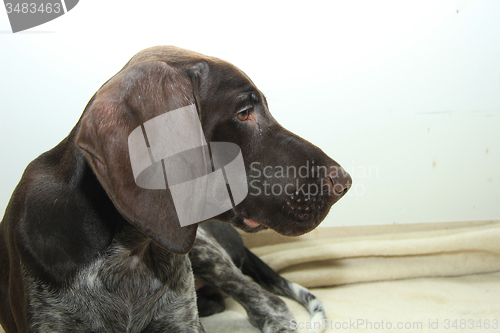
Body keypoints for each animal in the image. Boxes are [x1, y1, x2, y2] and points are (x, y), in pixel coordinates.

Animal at [0, 45, 352, 330]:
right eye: (243, 113)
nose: (345, 182)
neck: (125, 253)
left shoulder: (182, 320)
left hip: (206, 250)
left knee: (269, 303)